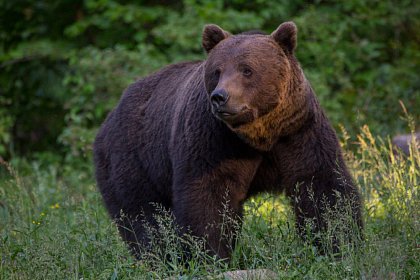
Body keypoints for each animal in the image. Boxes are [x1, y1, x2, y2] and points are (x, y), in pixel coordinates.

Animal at [93, 21, 362, 260]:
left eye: (247, 69)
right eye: (217, 71)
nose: (220, 97)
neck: (260, 135)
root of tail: (109, 117)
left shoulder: (298, 131)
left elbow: (322, 186)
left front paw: (340, 244)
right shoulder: (213, 139)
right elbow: (209, 197)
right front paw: (210, 254)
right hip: (132, 157)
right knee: (143, 215)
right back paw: (158, 256)